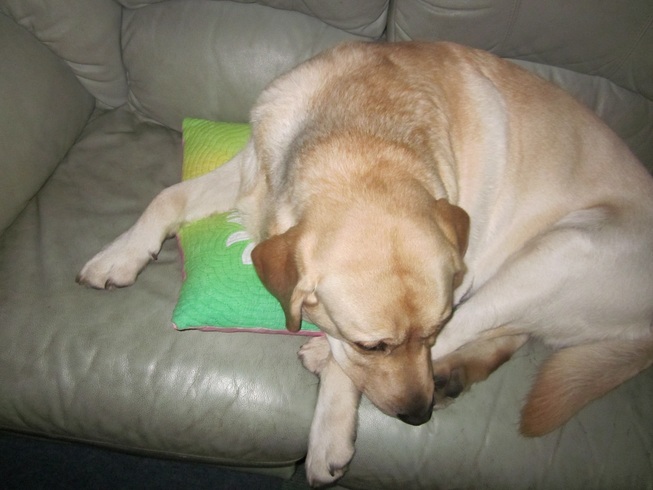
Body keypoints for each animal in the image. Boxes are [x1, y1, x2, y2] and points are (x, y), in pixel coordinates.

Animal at [78, 41, 653, 486]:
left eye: (429, 333)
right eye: (373, 345)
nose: (418, 417)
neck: (359, 143)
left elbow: (355, 363)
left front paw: (328, 433)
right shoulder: (252, 172)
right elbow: (167, 197)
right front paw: (118, 255)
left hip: (560, 249)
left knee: (483, 318)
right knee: (510, 335)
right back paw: (454, 375)